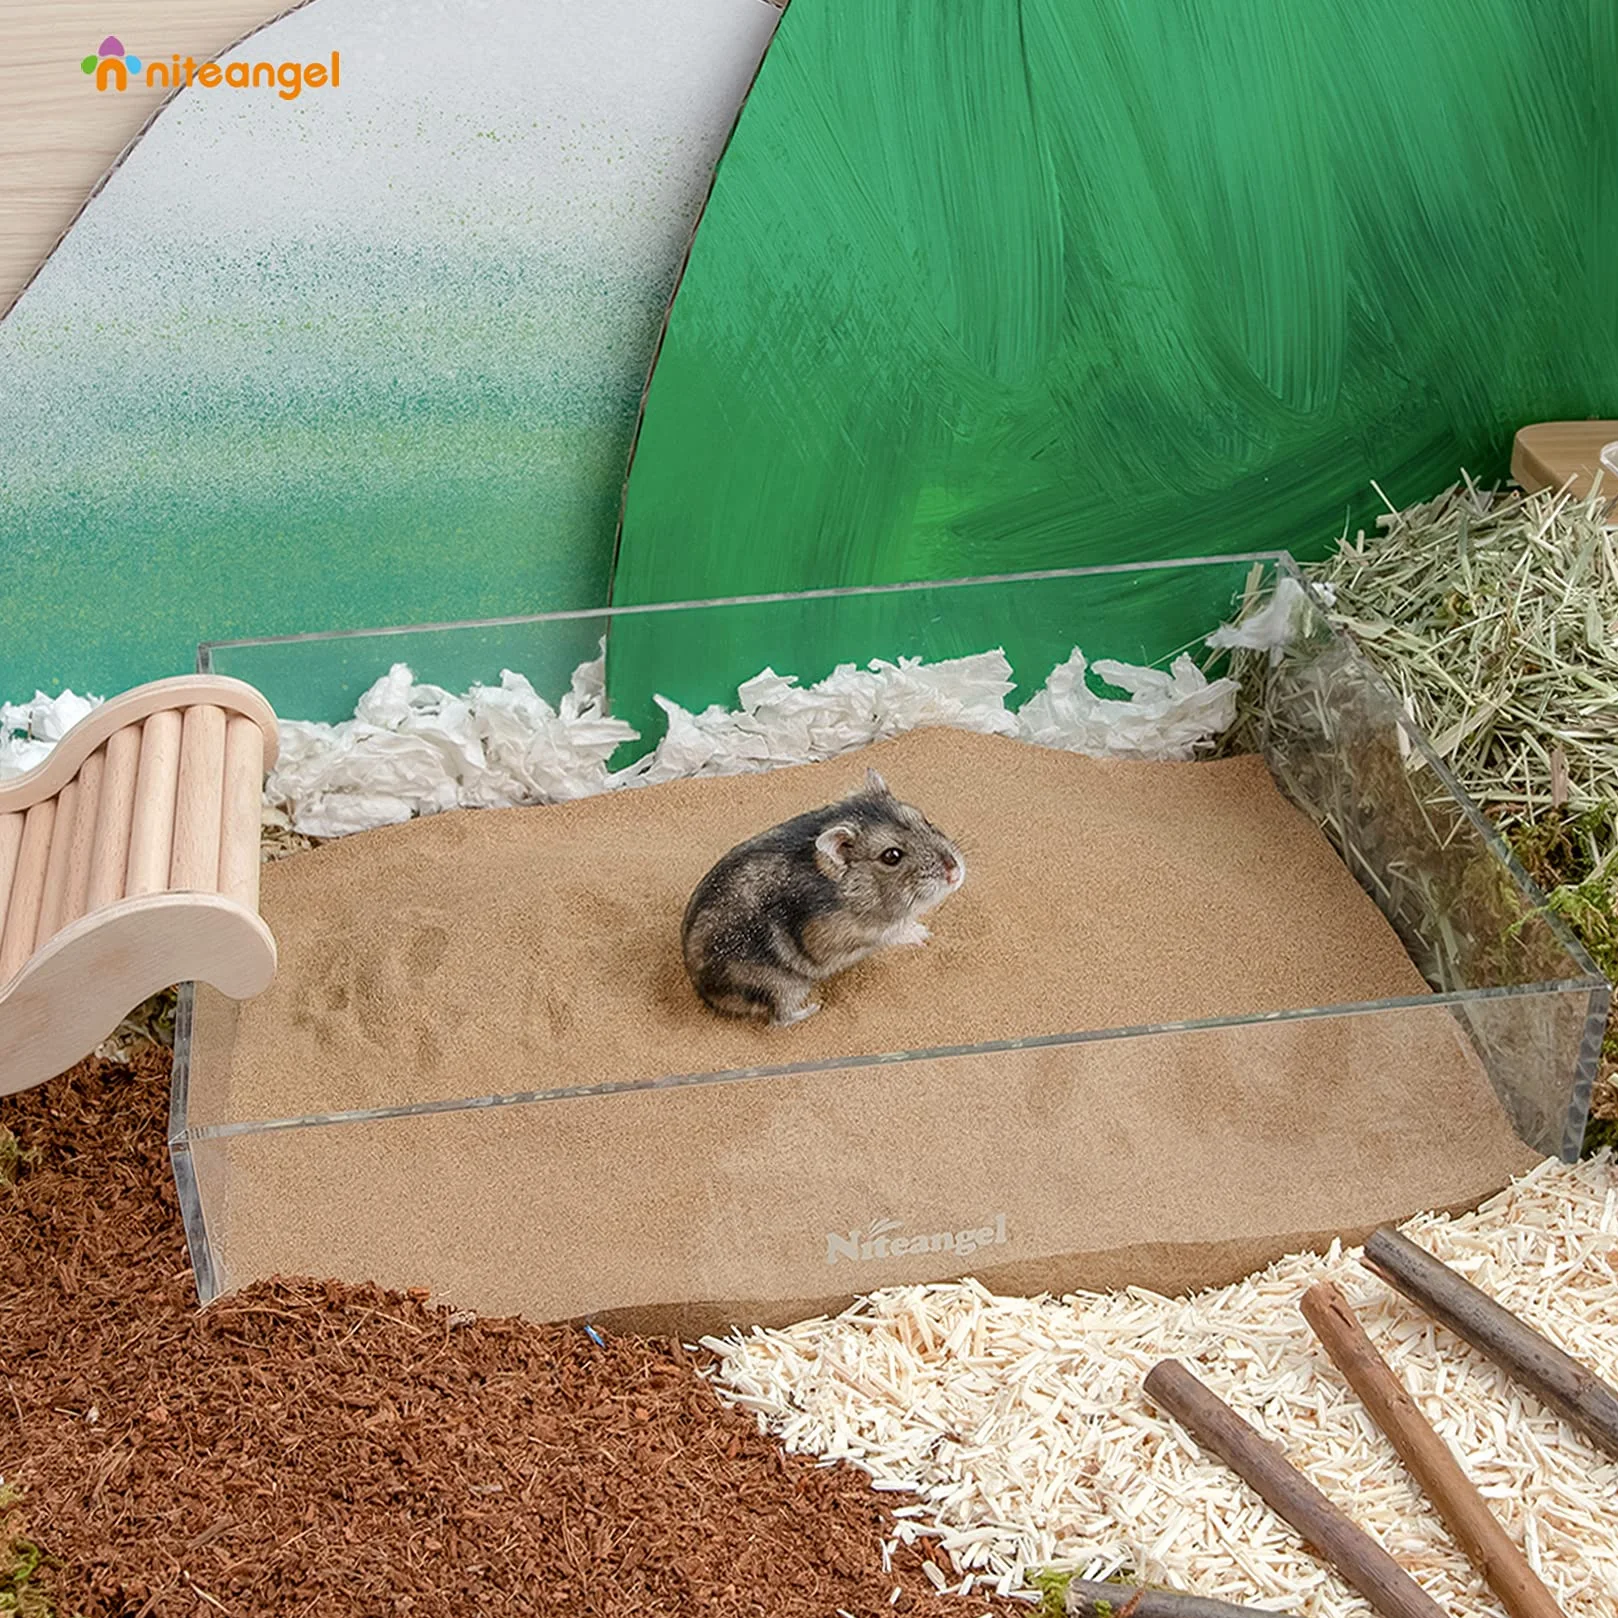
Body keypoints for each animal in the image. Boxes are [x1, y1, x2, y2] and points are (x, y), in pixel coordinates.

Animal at [681, 767, 966, 1026]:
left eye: (925, 820)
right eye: (891, 856)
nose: (955, 872)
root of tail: (700, 990)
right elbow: (890, 933)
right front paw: (922, 934)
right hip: (781, 986)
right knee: (779, 1018)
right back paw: (812, 1009)